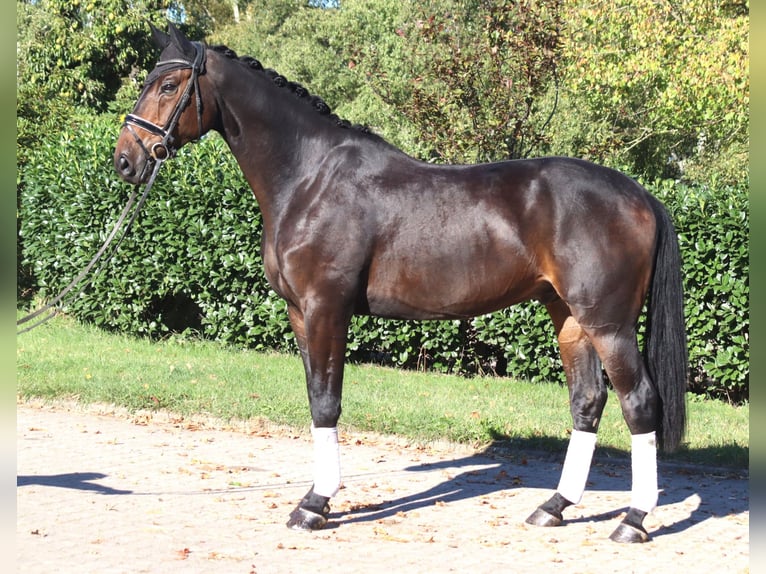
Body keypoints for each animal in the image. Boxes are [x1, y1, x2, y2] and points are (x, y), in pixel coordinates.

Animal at [114, 23, 688, 543]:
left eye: (169, 85)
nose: (125, 159)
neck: (309, 178)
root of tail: (639, 194)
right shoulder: (300, 312)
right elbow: (314, 397)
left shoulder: (325, 308)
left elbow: (326, 401)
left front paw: (316, 504)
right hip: (568, 316)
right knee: (587, 401)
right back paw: (554, 507)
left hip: (608, 323)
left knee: (639, 403)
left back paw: (634, 520)